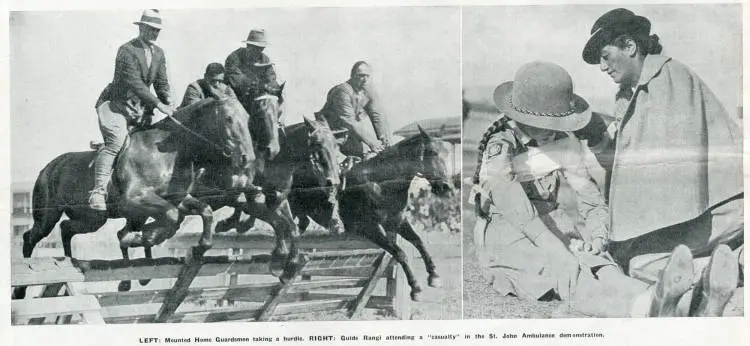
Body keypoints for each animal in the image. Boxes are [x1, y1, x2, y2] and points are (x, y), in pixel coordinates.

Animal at [290, 126, 456, 300]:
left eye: (448, 153)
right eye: (432, 152)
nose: (446, 187)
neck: (380, 184)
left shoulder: (397, 221)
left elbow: (418, 242)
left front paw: (434, 275)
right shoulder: (370, 229)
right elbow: (399, 253)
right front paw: (416, 288)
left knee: (302, 224)